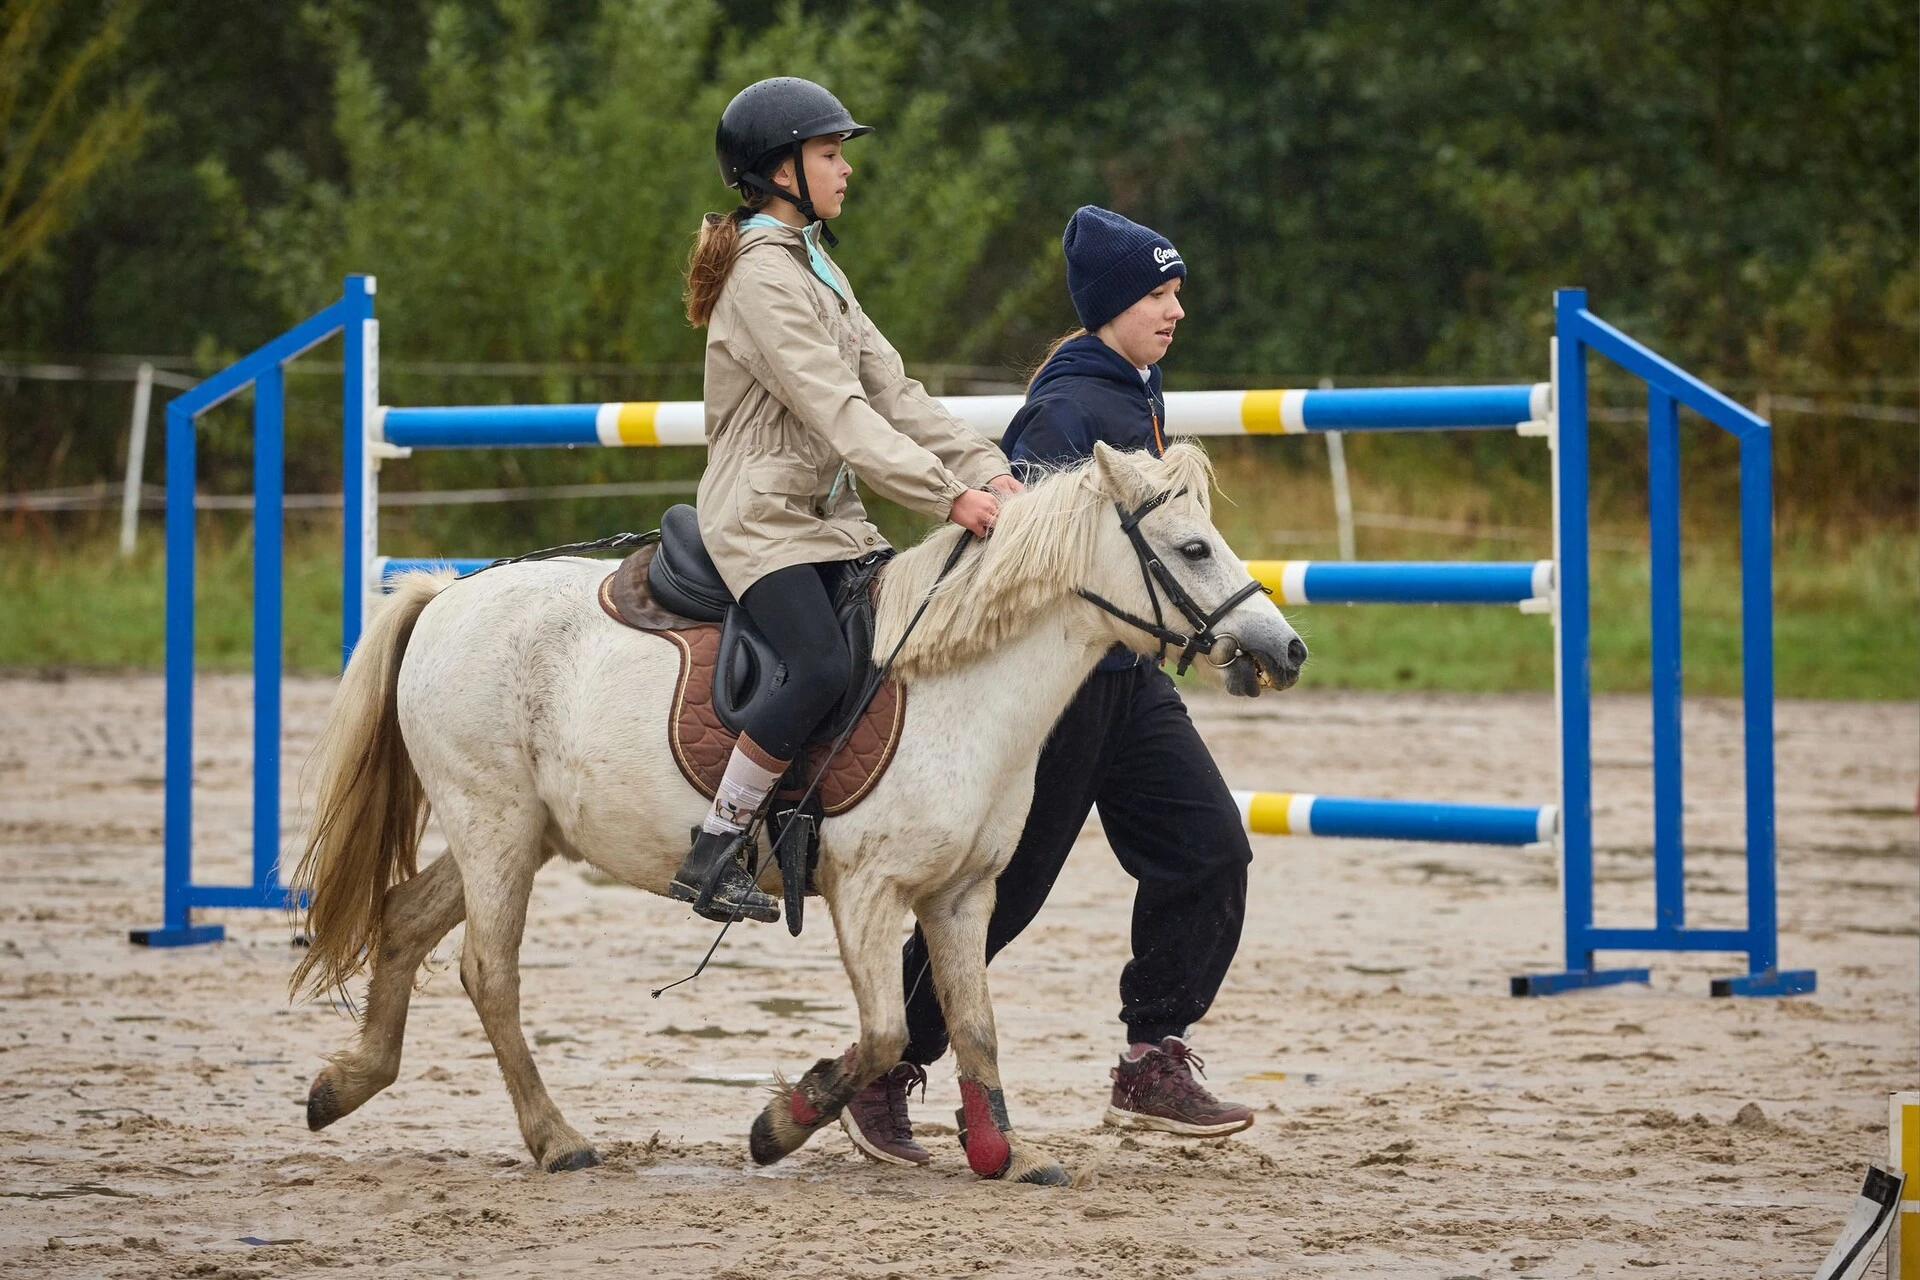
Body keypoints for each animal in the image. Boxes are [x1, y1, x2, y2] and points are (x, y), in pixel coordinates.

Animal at [288, 443, 1305, 1189]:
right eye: (1193, 548)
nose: (1285, 648)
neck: (960, 687)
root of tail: (445, 595)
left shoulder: (961, 895)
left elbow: (973, 1024)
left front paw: (1008, 1155)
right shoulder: (868, 893)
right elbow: (887, 1029)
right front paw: (782, 1123)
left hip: (514, 834)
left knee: (403, 921)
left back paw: (345, 1085)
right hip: (493, 827)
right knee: (488, 973)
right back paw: (557, 1138)